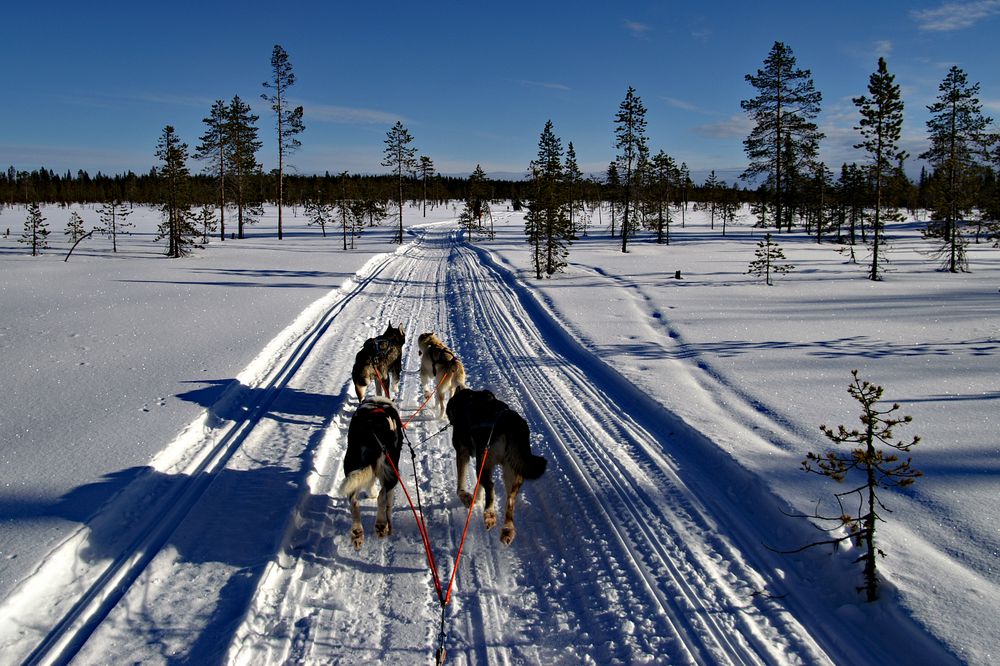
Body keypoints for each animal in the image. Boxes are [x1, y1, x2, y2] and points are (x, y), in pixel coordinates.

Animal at [338, 396, 404, 548]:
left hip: (351, 466)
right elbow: (389, 504)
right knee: (382, 496)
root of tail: (371, 428)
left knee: (354, 502)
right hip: (391, 470)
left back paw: (357, 533)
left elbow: (370, 483)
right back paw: (381, 525)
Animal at [446, 386, 548, 544]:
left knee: (491, 487)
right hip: (512, 471)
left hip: (486, 462)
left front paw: (466, 497)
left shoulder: (463, 453)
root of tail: (510, 422)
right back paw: (507, 529)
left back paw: (489, 514)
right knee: (510, 500)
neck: (467, 398)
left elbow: (461, 484)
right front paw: (476, 498)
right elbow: (479, 488)